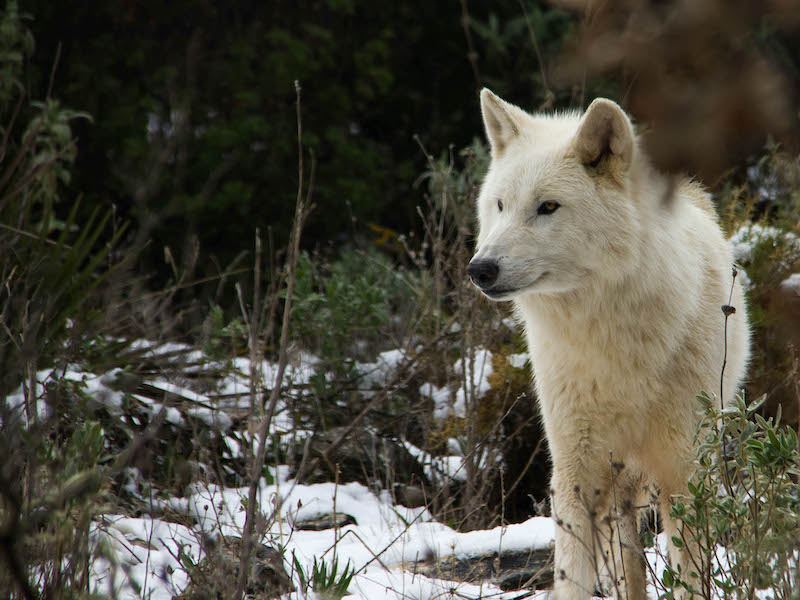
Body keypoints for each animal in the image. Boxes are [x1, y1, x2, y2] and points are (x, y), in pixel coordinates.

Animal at [468, 90, 752, 600]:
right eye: (500, 205)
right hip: (615, 491)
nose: (479, 269)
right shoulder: (575, 475)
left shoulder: (683, 474)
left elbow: (691, 577)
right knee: (626, 565)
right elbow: (573, 577)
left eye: (547, 207)